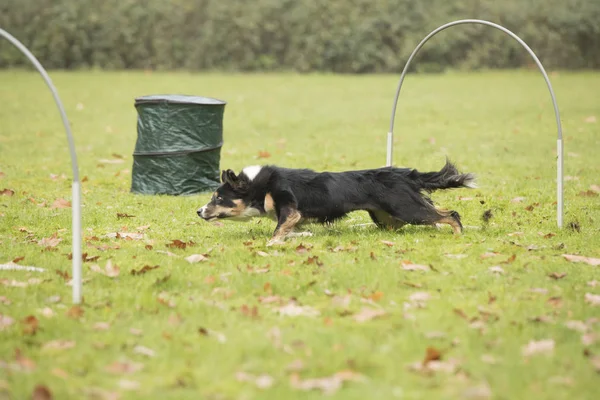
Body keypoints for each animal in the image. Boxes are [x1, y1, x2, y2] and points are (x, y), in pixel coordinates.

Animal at [199, 160, 476, 247]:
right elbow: (291, 231)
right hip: (389, 219)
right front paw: (301, 237)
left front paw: (271, 244)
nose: (198, 211)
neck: (258, 186)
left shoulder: (290, 209)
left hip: (406, 209)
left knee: (451, 214)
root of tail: (405, 173)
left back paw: (457, 234)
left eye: (218, 198)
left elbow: (278, 230)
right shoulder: (294, 218)